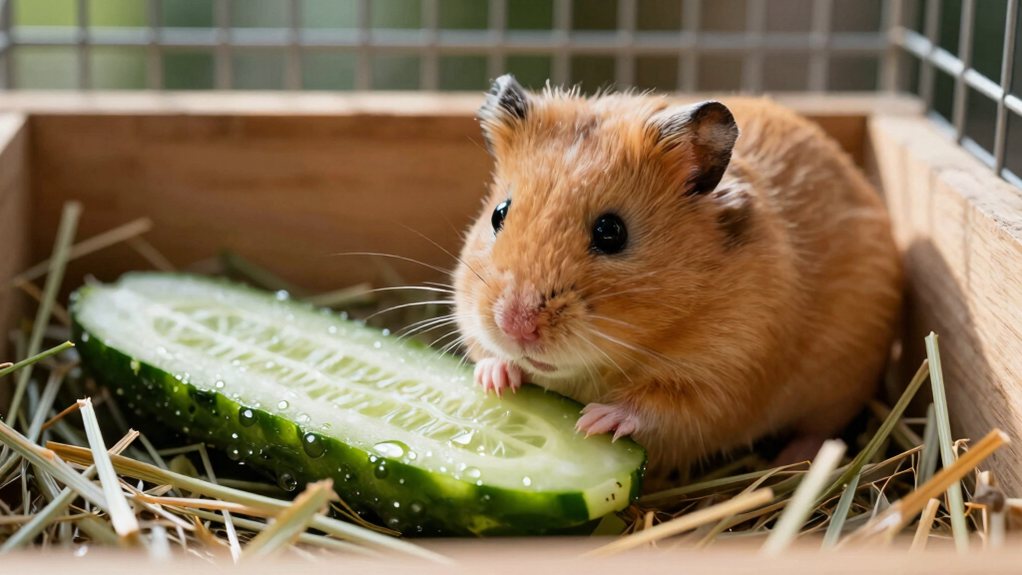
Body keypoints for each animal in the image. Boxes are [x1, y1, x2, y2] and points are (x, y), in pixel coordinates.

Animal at [452, 74, 902, 477]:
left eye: (611, 232)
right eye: (498, 214)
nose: (515, 325)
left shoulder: (728, 379)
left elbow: (661, 410)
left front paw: (594, 421)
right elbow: (484, 352)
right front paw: (495, 379)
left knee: (824, 433)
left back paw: (788, 461)